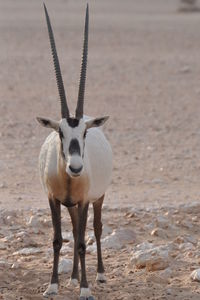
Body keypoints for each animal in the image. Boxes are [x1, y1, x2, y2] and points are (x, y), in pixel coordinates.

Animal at [37, 2, 112, 300]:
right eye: (60, 132)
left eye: (84, 133)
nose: (76, 168)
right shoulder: (53, 199)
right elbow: (58, 239)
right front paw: (53, 285)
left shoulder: (83, 200)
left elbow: (81, 242)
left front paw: (85, 290)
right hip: (70, 205)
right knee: (74, 228)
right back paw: (72, 277)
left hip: (98, 198)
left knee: (96, 229)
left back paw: (99, 275)